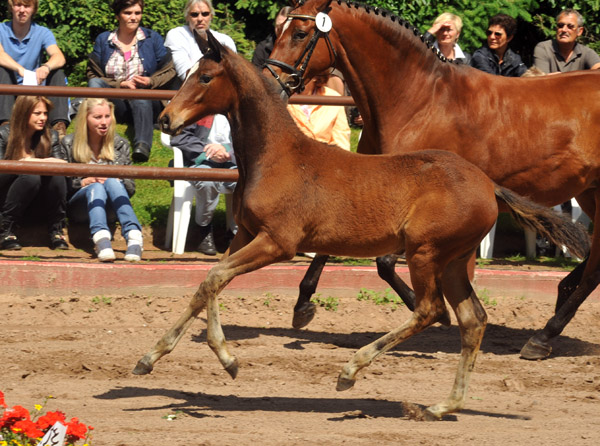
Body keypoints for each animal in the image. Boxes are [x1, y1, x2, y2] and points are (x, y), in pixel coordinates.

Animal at [134, 29, 588, 420]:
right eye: (189, 74)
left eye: (206, 77)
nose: (166, 120)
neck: (276, 155)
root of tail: (490, 185)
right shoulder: (245, 235)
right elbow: (207, 285)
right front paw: (153, 359)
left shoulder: (277, 242)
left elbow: (213, 280)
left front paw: (226, 358)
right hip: (453, 261)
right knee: (472, 319)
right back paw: (440, 407)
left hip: (425, 253)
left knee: (430, 310)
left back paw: (351, 371)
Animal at [266, 0, 600, 360]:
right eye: (280, 29)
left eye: (300, 33)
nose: (270, 82)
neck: (419, 101)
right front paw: (302, 305)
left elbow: (385, 263)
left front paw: (433, 313)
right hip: (590, 194)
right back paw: (560, 298)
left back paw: (543, 336)